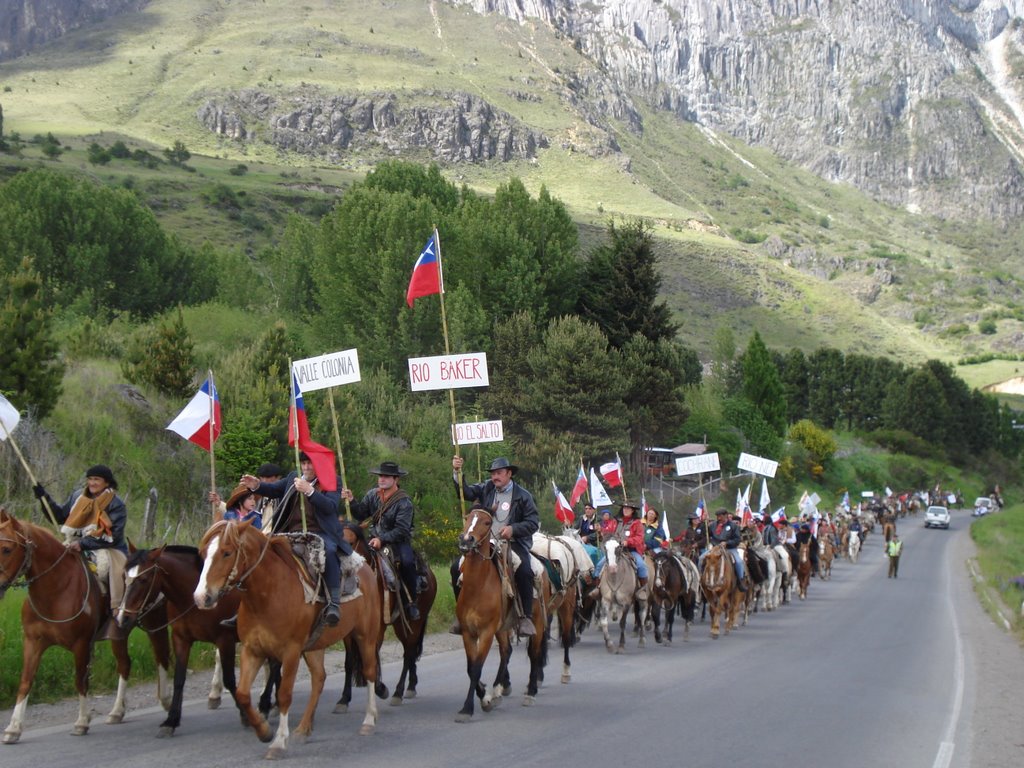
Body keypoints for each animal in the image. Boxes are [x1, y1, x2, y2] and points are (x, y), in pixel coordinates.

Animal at [0, 507, 172, 741]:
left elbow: (80, 680)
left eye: (6, 549)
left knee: (161, 657)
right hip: (119, 632)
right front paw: (13, 728)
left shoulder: (81, 644)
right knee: (125, 664)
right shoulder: (33, 642)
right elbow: (26, 681)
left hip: (155, 624)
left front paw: (82, 722)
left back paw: (166, 700)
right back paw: (117, 711)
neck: (57, 590)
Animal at [192, 520, 385, 761]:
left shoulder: (290, 651)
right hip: (314, 646)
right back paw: (303, 728)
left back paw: (369, 720)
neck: (268, 593)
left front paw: (278, 742)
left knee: (369, 671)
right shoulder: (252, 650)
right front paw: (264, 731)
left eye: (226, 552)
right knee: (319, 678)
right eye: (203, 553)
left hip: (364, 635)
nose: (201, 597)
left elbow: (284, 695)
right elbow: (243, 694)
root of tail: (365, 568)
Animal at [456, 507, 552, 724]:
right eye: (468, 518)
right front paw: (485, 696)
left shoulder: (486, 632)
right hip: (502, 628)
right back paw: (499, 689)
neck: (478, 587)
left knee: (534, 654)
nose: (466, 540)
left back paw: (530, 692)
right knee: (506, 651)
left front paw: (468, 708)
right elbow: (470, 668)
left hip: (537, 623)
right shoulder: (468, 632)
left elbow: (476, 667)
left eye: (486, 522)